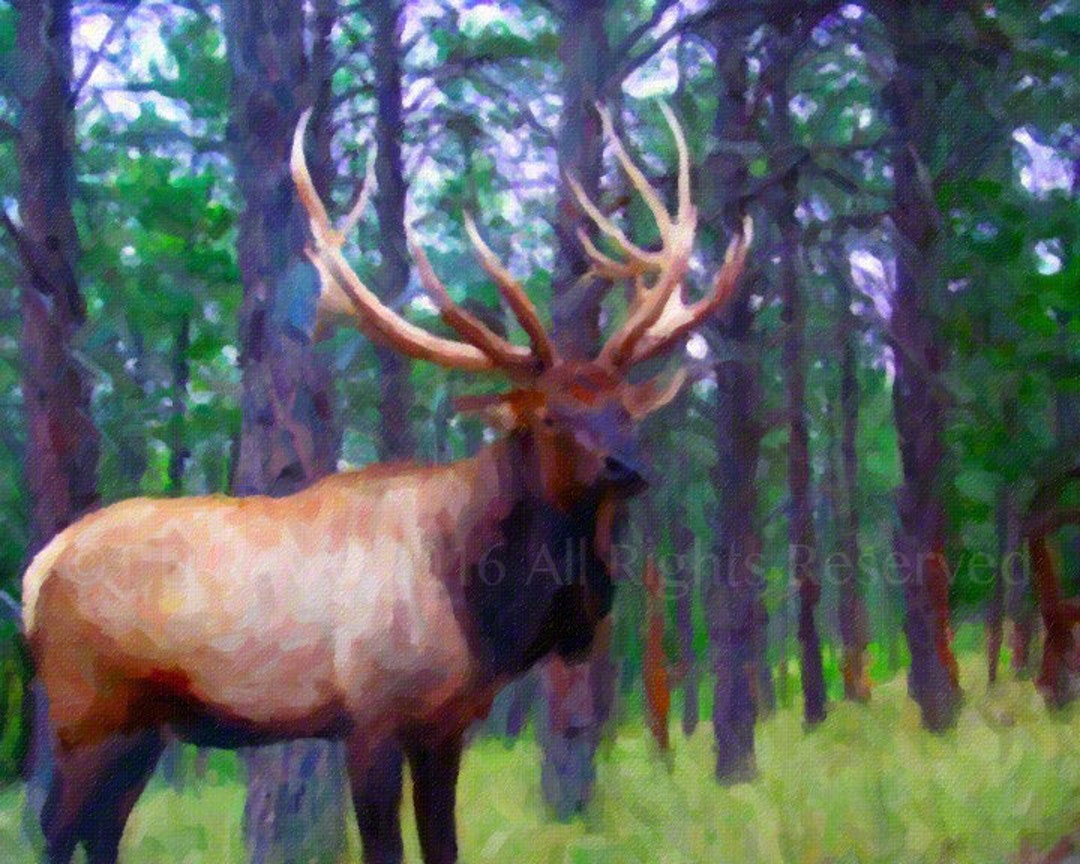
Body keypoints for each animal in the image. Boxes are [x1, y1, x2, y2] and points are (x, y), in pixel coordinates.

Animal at [22, 103, 751, 864]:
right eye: (551, 414)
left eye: (622, 409)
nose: (627, 468)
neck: (483, 608)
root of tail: (37, 571)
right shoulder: (369, 716)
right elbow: (385, 847)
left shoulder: (447, 725)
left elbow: (444, 845)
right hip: (85, 710)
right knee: (57, 827)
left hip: (141, 727)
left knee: (101, 829)